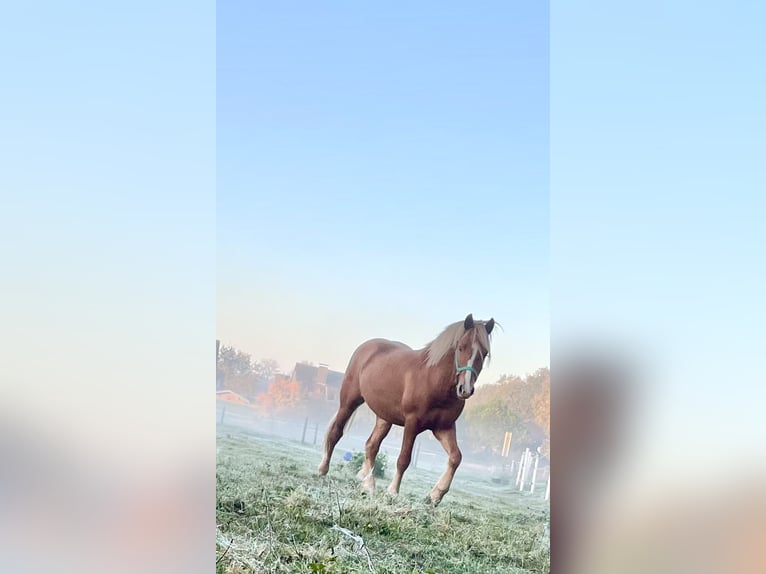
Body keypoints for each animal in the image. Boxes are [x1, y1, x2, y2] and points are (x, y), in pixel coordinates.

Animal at [318, 316, 498, 508]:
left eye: (484, 353)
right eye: (461, 347)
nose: (465, 389)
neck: (433, 380)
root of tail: (366, 348)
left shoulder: (444, 427)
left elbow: (456, 457)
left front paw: (435, 495)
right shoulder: (412, 423)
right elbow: (404, 459)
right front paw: (393, 491)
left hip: (384, 418)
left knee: (371, 445)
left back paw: (368, 483)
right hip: (348, 403)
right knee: (336, 433)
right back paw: (323, 469)